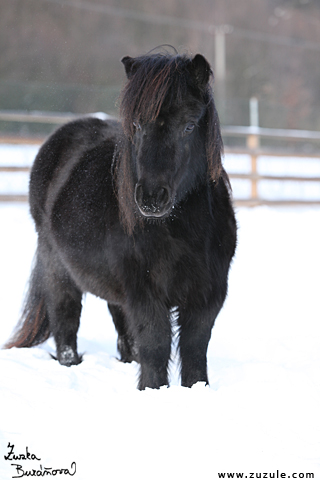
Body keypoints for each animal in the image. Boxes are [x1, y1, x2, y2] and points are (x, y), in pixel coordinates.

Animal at [5, 49, 236, 390]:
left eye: (190, 126)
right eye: (137, 125)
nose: (151, 197)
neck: (183, 231)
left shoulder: (208, 294)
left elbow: (194, 349)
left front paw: (196, 390)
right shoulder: (144, 293)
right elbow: (155, 345)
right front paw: (153, 391)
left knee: (122, 331)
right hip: (58, 268)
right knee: (65, 322)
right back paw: (70, 364)